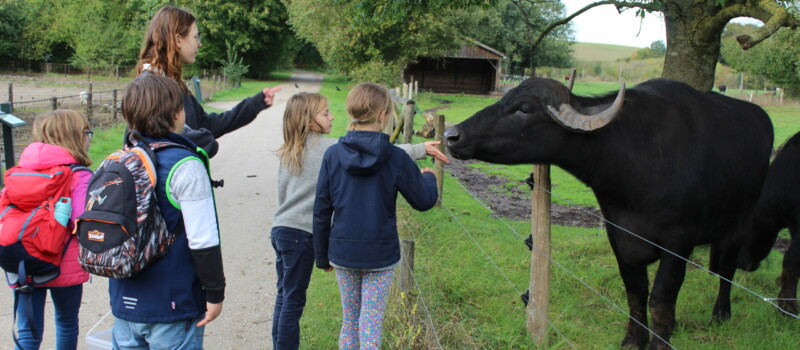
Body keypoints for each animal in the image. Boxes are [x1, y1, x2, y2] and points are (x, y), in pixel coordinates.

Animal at [444, 78, 776, 348]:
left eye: (524, 109)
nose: (451, 135)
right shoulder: (621, 238)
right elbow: (635, 292)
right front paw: (633, 340)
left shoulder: (678, 244)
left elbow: (661, 300)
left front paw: (659, 343)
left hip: (738, 226)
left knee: (727, 270)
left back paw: (721, 314)